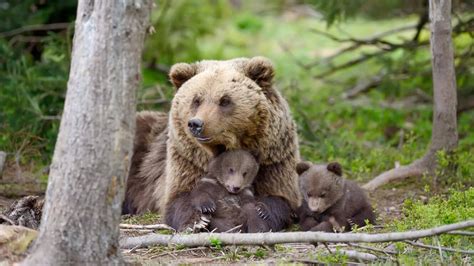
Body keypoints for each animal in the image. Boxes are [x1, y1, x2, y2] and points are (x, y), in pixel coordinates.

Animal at [122, 56, 300, 229]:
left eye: (225, 100)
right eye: (196, 100)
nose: (196, 124)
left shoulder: (273, 159)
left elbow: (280, 197)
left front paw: (261, 214)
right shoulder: (187, 159)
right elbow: (179, 197)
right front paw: (196, 220)